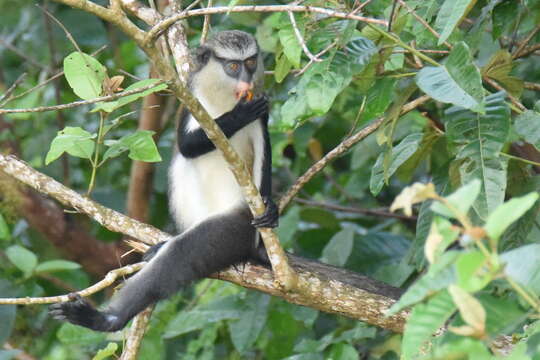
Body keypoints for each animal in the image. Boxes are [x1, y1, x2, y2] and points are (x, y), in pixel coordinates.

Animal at [49, 30, 278, 332]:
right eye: (232, 66)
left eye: (251, 63)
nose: (246, 81)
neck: (223, 100)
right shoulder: (192, 103)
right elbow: (186, 145)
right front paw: (239, 115)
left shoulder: (263, 115)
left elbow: (264, 162)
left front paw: (271, 208)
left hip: (233, 228)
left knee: (182, 253)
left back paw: (107, 319)